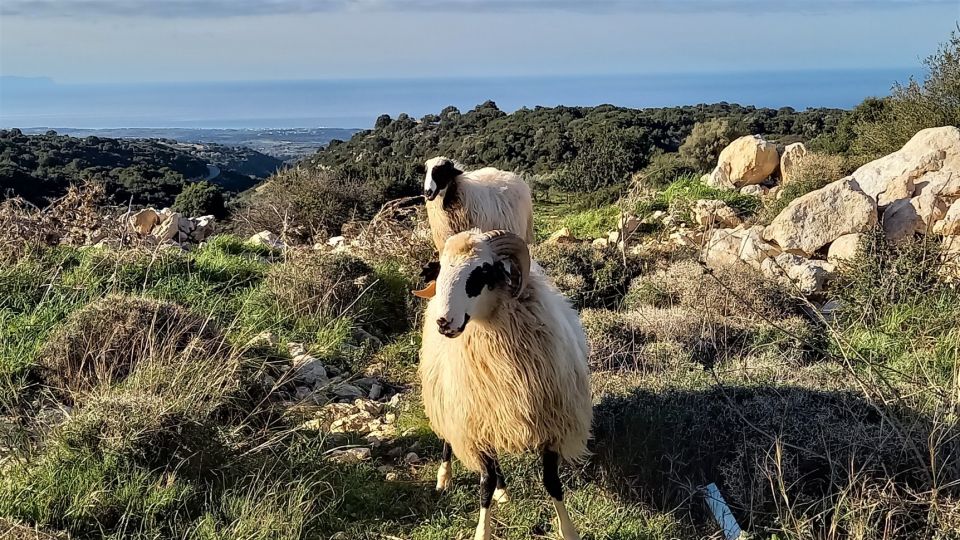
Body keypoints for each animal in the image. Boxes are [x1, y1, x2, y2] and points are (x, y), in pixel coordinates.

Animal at [420, 229, 592, 540]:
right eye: (441, 271)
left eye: (483, 271)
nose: (444, 322)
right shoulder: (475, 427)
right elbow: (484, 485)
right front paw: (482, 532)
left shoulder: (553, 424)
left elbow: (552, 482)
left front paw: (568, 530)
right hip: (447, 399)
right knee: (449, 439)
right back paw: (445, 476)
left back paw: (502, 490)